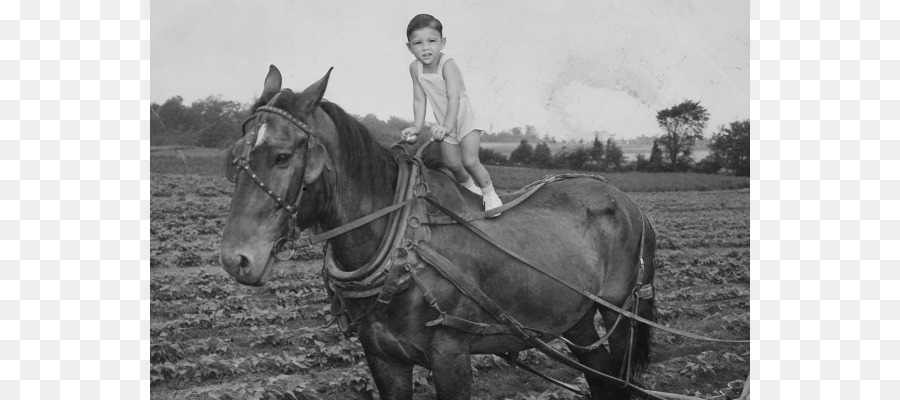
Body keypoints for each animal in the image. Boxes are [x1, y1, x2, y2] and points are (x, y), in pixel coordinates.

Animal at [221, 64, 656, 398]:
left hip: (618, 312)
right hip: (576, 320)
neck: (402, 245)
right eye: (235, 155)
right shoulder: (383, 358)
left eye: (282, 156)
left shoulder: (451, 353)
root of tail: (629, 202)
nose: (235, 259)